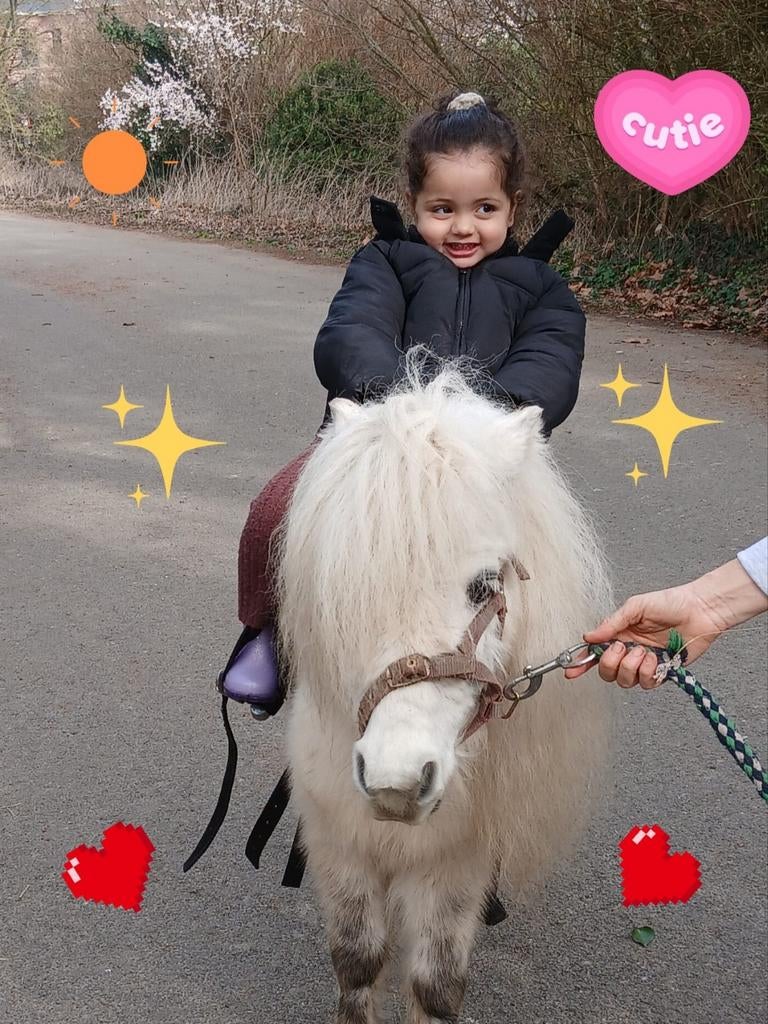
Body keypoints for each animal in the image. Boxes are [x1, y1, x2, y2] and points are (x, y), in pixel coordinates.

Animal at [273, 352, 614, 1023]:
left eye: (485, 586)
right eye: (346, 588)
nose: (397, 780)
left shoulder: (456, 864)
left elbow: (435, 983)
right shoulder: (341, 844)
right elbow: (357, 962)